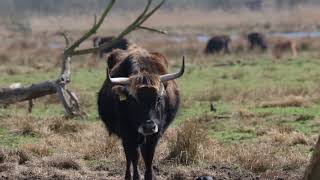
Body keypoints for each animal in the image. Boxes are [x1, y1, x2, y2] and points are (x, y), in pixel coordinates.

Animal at [96, 45, 184, 180]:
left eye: (158, 99)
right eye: (134, 100)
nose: (148, 126)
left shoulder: (155, 134)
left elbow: (148, 155)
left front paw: (150, 175)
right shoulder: (127, 133)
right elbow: (134, 156)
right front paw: (136, 176)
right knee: (129, 156)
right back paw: (128, 176)